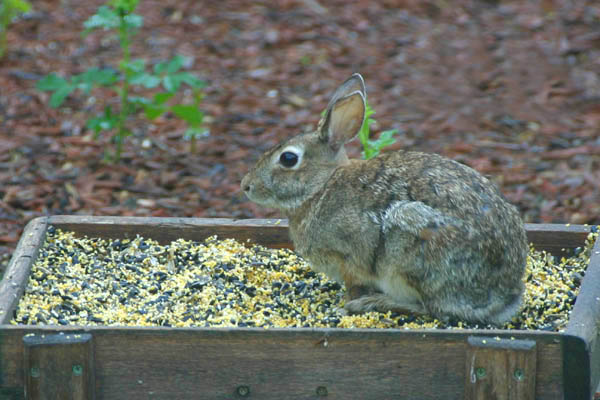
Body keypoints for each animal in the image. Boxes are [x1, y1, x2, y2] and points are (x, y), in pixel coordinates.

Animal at [241, 74, 528, 324]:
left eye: (288, 159)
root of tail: (503, 299)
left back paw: (372, 304)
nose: (246, 186)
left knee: (429, 308)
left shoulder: (348, 257)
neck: (319, 187)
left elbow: (353, 282)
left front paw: (346, 304)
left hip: (408, 244)